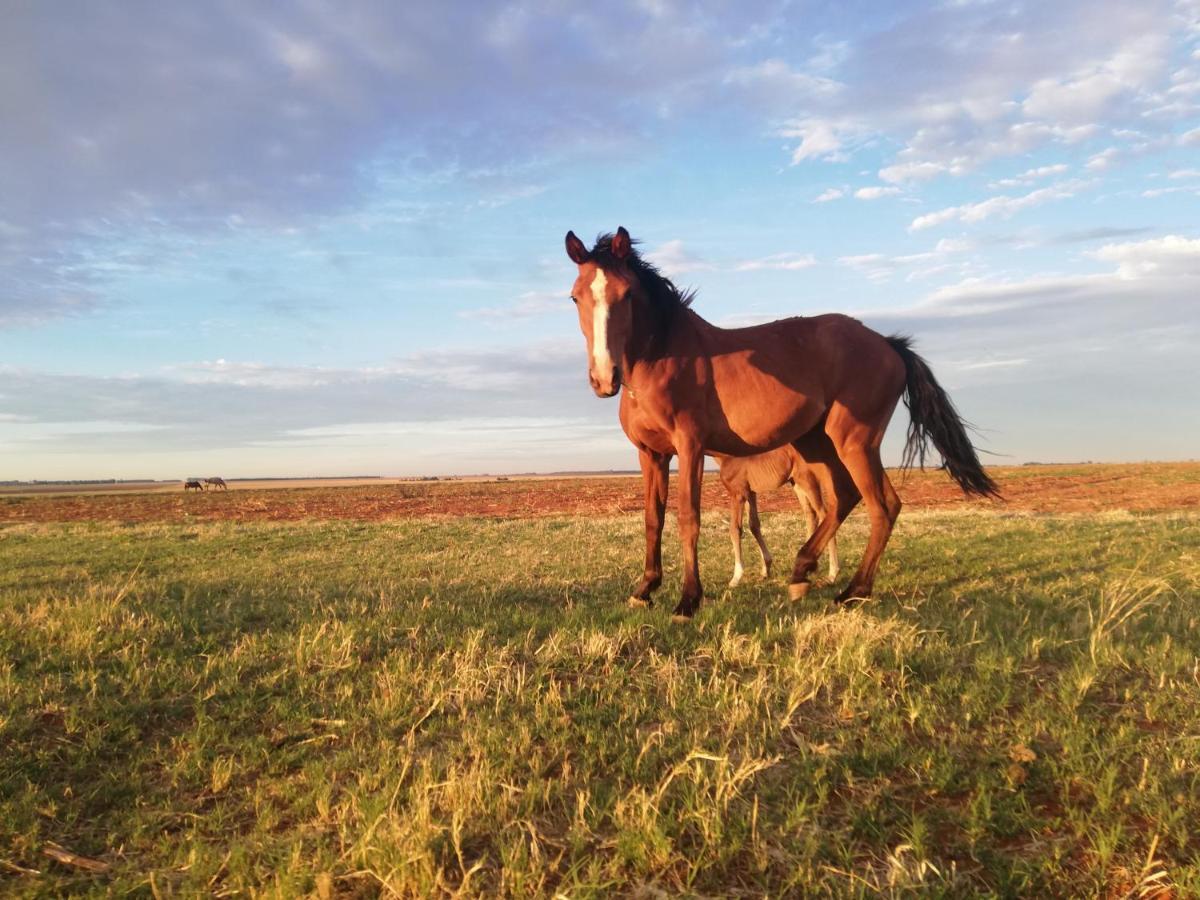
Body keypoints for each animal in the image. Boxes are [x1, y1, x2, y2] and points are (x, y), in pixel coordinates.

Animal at [715, 446, 840, 588]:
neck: (727, 456)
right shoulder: (750, 493)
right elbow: (754, 525)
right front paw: (765, 571)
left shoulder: (737, 494)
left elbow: (735, 530)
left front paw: (736, 578)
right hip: (796, 483)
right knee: (811, 515)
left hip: (808, 481)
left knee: (824, 515)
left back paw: (832, 574)